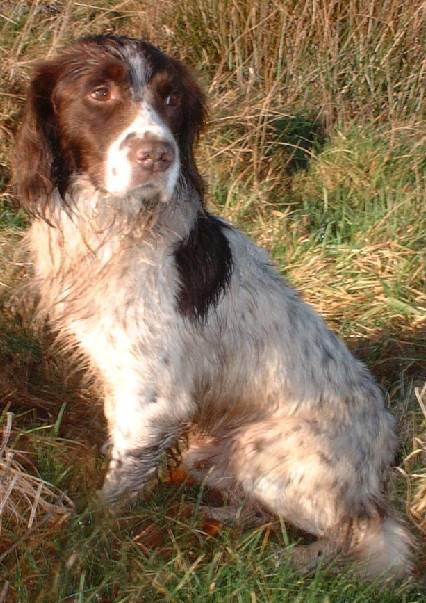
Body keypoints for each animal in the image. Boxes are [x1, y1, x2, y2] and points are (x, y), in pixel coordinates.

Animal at [14, 34, 412, 580]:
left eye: (170, 98)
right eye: (99, 92)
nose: (158, 155)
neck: (117, 225)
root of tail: (381, 462)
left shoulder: (155, 398)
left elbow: (115, 492)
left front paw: (85, 545)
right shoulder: (122, 382)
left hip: (262, 453)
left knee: (356, 534)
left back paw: (291, 557)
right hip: (211, 450)